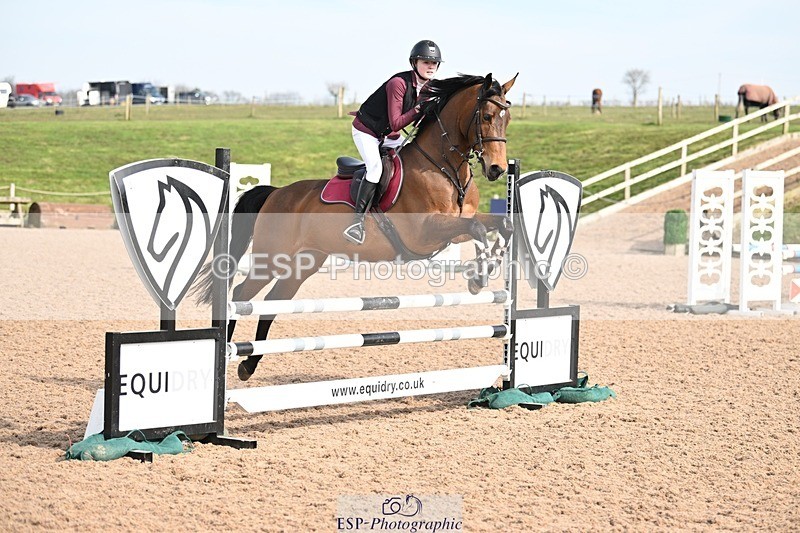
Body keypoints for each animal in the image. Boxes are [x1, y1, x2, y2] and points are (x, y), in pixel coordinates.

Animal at [194, 73, 517, 381]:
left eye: (508, 119)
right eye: (487, 116)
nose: (497, 169)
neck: (444, 167)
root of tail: (276, 193)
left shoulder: (452, 230)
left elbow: (498, 224)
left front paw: (489, 265)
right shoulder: (424, 232)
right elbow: (477, 228)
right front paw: (479, 277)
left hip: (303, 263)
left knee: (273, 302)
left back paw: (249, 364)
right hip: (272, 258)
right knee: (241, 295)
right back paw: (230, 359)